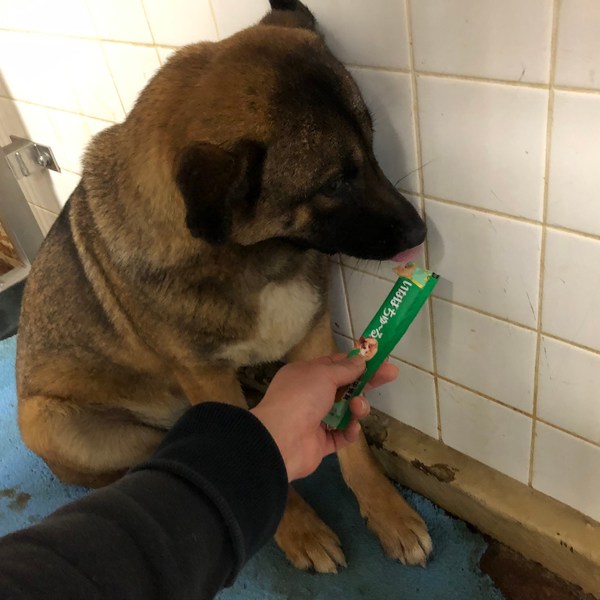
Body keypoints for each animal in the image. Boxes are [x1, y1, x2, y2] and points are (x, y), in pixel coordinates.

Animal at [16, 0, 431, 572]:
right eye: (333, 183)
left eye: (371, 149)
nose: (420, 233)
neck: (254, 257)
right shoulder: (207, 375)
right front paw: (299, 530)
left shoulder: (313, 339)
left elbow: (353, 444)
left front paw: (387, 512)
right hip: (47, 420)